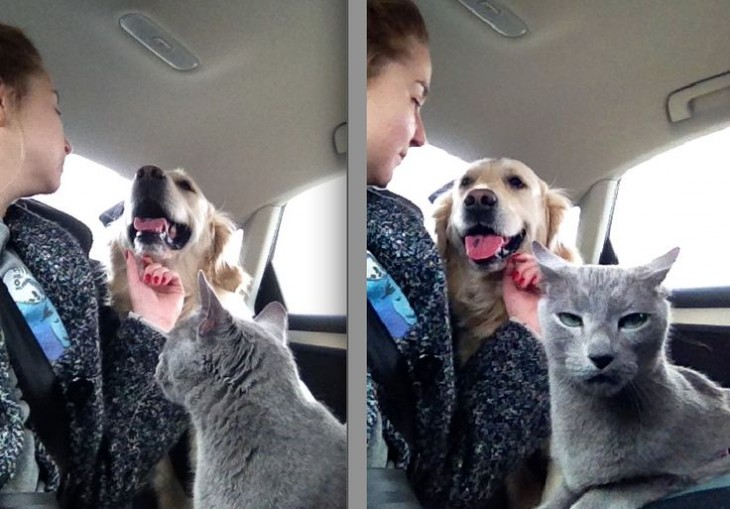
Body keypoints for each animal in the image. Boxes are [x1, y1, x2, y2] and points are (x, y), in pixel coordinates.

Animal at [528, 242, 728, 508]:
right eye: (569, 319)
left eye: (635, 320)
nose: (600, 356)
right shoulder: (570, 482)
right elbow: (558, 498)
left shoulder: (692, 467)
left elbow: (616, 488)